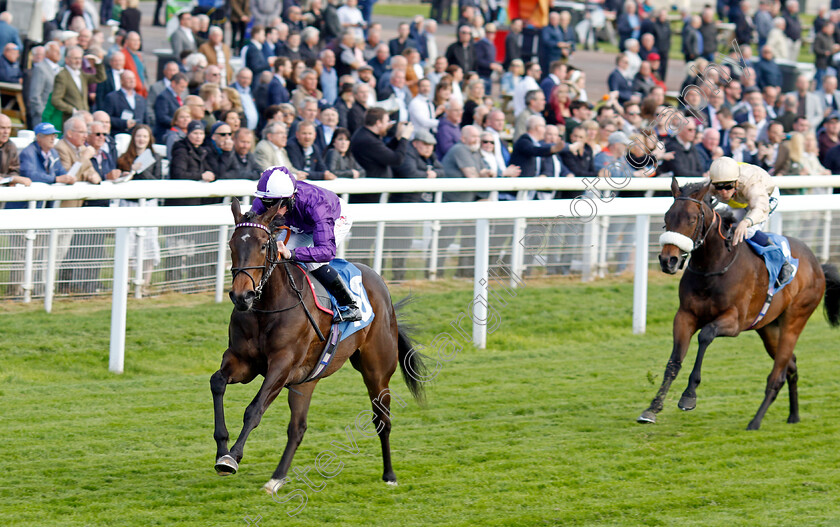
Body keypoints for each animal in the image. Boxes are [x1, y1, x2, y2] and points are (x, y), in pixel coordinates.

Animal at [210, 200, 426, 492]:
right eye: (232, 245)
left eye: (263, 246)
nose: (242, 296)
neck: (266, 308)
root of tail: (379, 283)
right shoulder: (242, 362)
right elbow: (217, 382)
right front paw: (222, 449)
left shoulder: (281, 365)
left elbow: (254, 409)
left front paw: (231, 457)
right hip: (306, 381)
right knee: (297, 428)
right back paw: (276, 478)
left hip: (377, 372)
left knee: (382, 420)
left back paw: (389, 475)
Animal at [636, 179, 840, 432]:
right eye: (667, 217)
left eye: (692, 219)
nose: (668, 260)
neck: (713, 266)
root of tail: (818, 266)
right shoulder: (685, 316)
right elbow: (674, 361)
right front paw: (652, 408)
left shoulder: (734, 321)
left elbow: (705, 335)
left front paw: (689, 396)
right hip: (769, 329)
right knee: (791, 365)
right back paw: (794, 415)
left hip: (795, 320)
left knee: (777, 375)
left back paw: (756, 421)